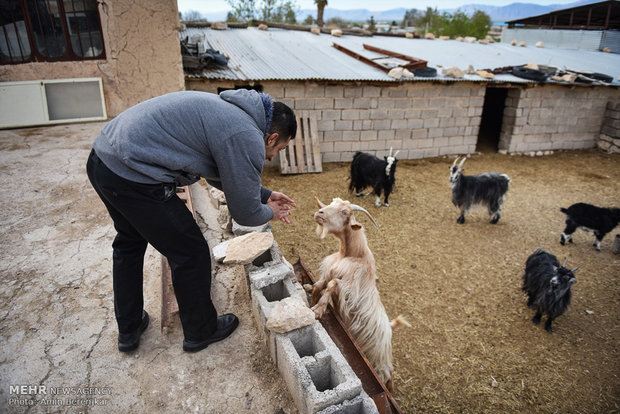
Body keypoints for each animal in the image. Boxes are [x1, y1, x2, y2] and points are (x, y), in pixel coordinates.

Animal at [310, 197, 406, 392]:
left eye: (344, 212)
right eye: (331, 203)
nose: (319, 213)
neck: (353, 254)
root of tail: (389, 328)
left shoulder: (350, 291)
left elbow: (332, 284)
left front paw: (318, 310)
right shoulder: (330, 272)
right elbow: (319, 285)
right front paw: (312, 300)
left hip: (379, 356)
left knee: (388, 373)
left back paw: (390, 391)